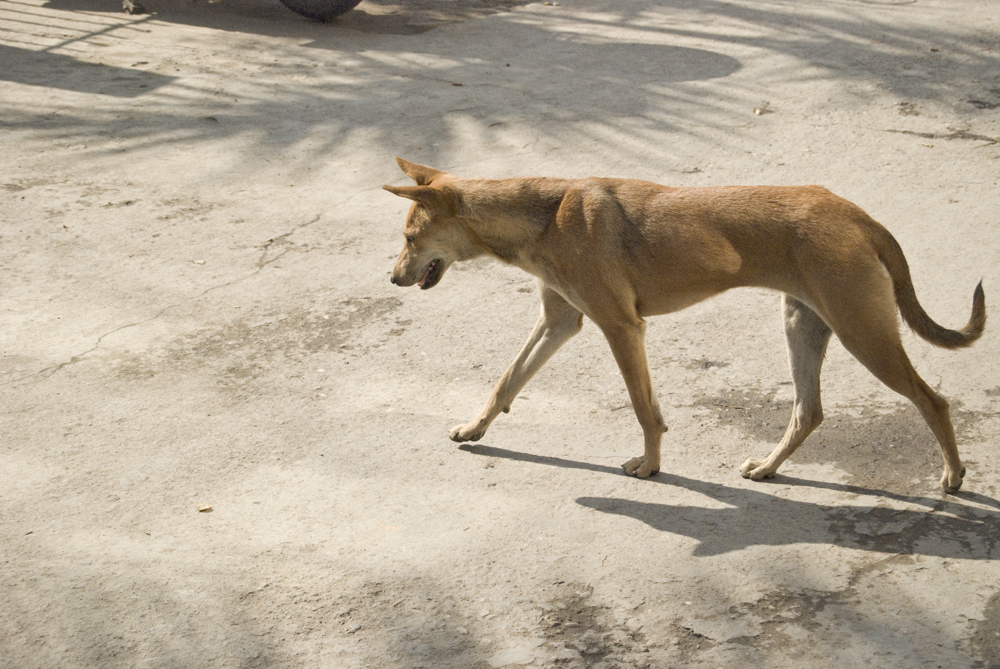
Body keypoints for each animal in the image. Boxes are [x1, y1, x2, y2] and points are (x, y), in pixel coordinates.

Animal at [382, 157, 984, 490]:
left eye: (410, 238)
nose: (392, 278)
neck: (545, 215)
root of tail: (857, 213)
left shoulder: (622, 328)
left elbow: (644, 409)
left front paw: (650, 467)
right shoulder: (560, 322)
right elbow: (506, 381)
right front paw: (475, 428)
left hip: (864, 332)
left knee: (933, 402)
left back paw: (953, 477)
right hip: (804, 325)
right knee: (808, 412)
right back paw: (769, 468)